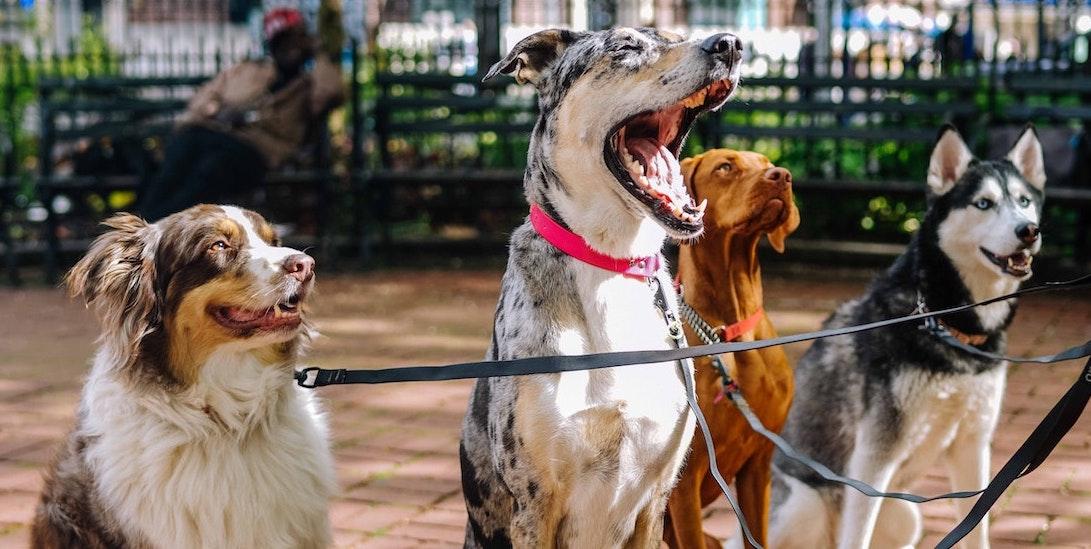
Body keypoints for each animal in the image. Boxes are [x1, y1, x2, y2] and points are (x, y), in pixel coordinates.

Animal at [456, 27, 746, 547]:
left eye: (676, 35)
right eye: (625, 47)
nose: (729, 43)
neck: (611, 261)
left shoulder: (656, 501)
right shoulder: (534, 504)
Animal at [658, 149, 798, 549]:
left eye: (766, 163)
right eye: (725, 167)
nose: (781, 176)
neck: (731, 329)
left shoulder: (759, 462)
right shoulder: (685, 480)